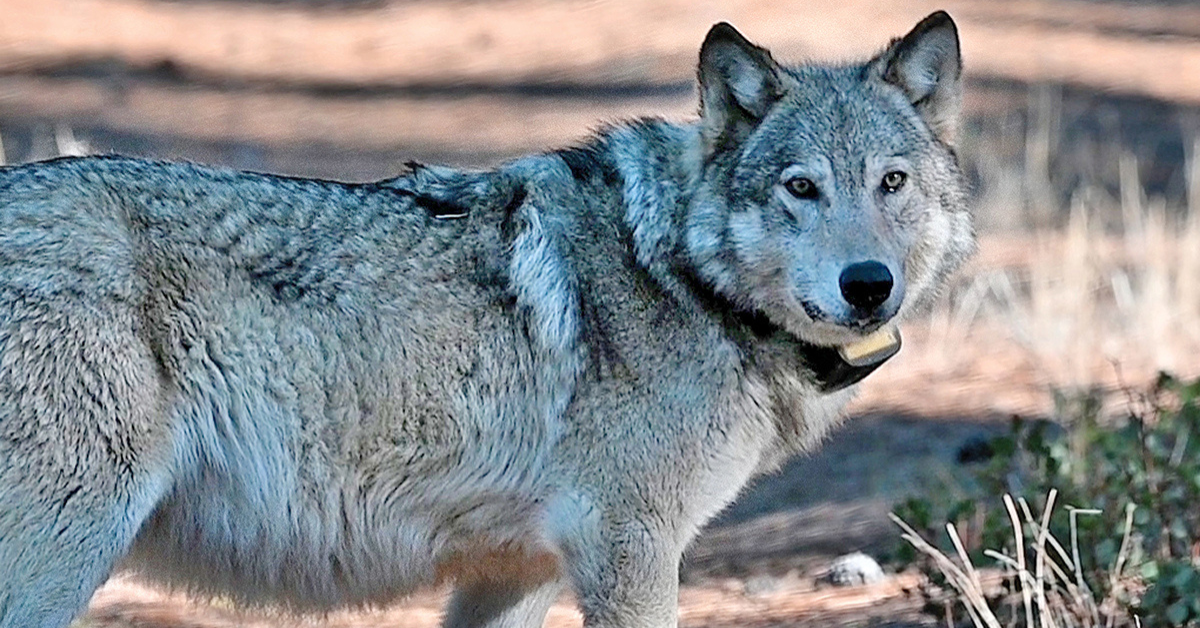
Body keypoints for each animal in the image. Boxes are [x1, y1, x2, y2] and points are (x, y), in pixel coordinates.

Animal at [0, 11, 972, 628]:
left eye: (891, 182)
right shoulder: (629, 549)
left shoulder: (517, 569)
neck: (681, 275)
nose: (868, 285)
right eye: (800, 188)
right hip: (65, 552)